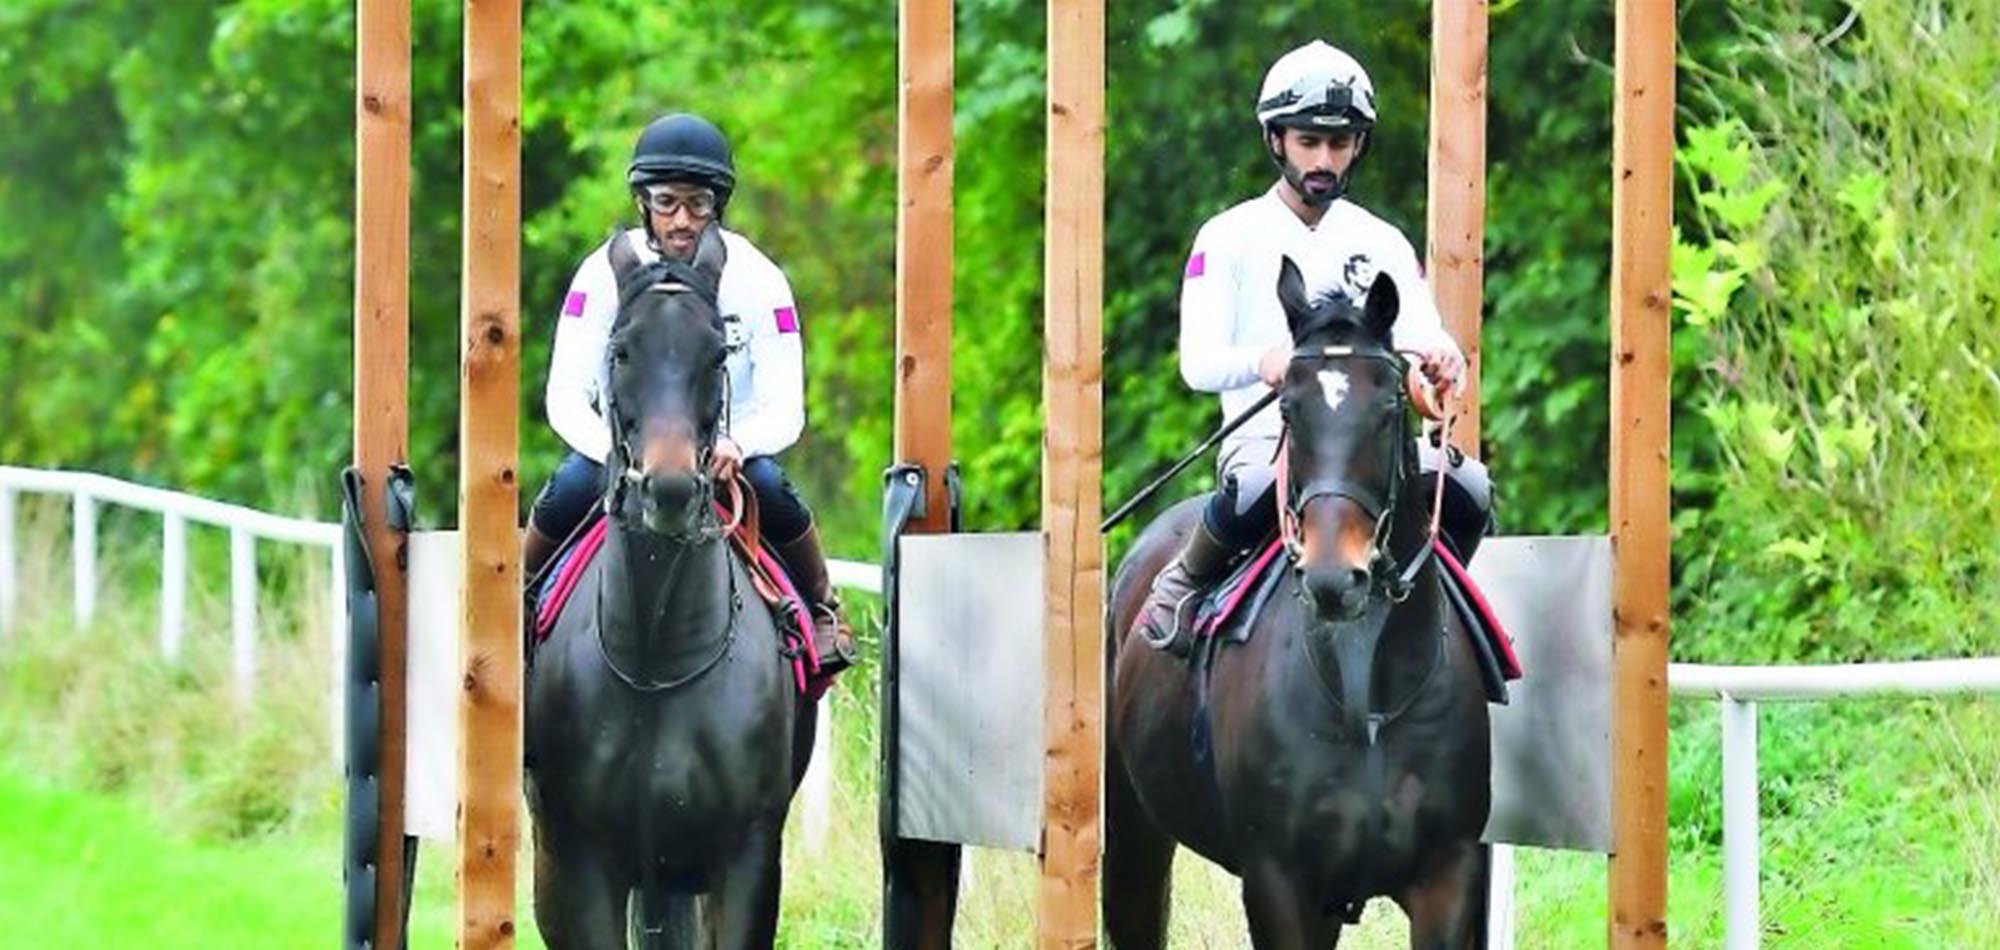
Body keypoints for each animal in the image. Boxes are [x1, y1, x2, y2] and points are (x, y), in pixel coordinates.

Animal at [532, 227, 820, 948]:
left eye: (717, 353)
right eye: (621, 351)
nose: (668, 490)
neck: (655, 662)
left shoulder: (745, 856)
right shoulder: (577, 860)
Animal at [1104, 262, 1496, 950]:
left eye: (1388, 406)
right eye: (1289, 404)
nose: (1335, 577)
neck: (1367, 696)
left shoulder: (1446, 874)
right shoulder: (1278, 880)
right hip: (1133, 832)